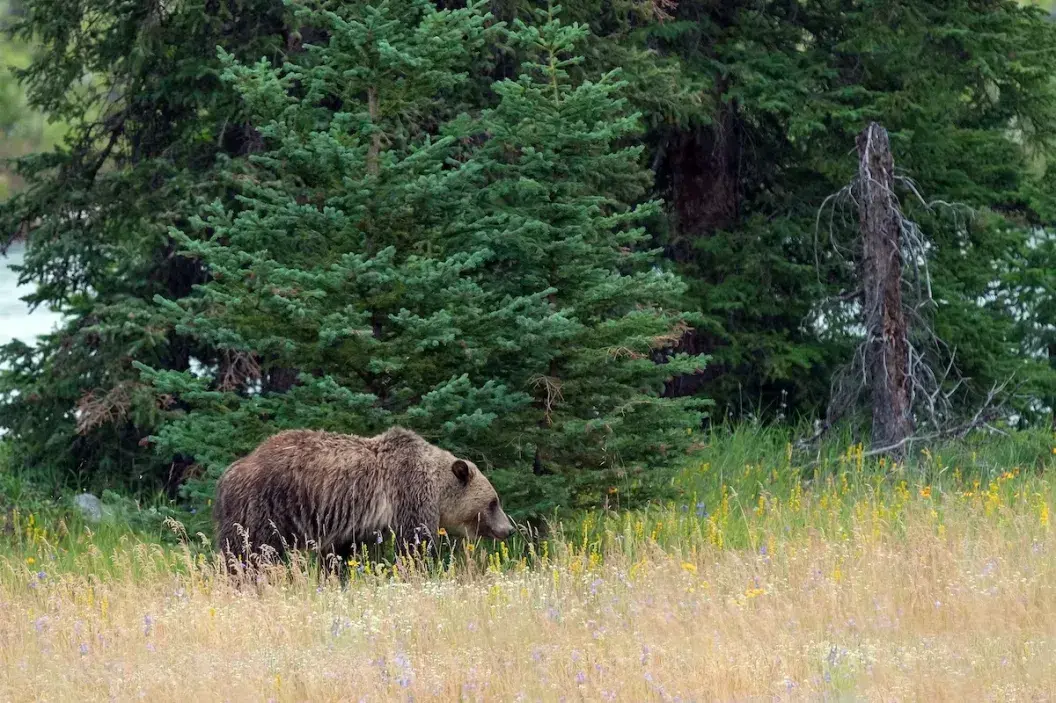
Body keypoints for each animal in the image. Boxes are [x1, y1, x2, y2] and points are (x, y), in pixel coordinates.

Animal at [212, 426, 515, 566]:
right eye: (494, 502)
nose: (510, 529)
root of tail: (231, 471)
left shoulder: (348, 525)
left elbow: (340, 553)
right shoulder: (409, 496)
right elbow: (415, 542)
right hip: (265, 509)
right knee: (248, 551)